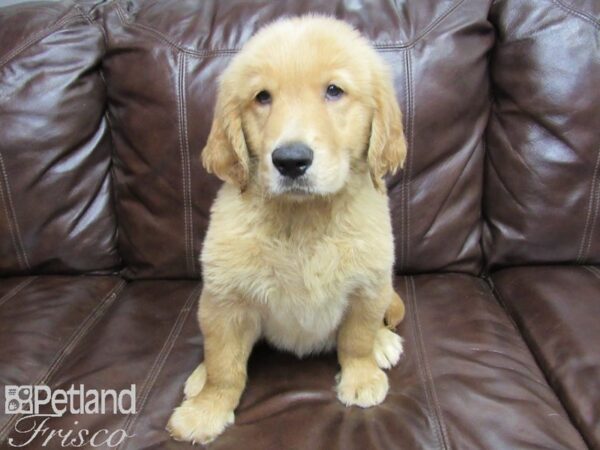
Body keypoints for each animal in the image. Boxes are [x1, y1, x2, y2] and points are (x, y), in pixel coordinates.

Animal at [166, 15, 406, 444]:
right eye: (262, 97)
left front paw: (361, 378)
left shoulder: (366, 286)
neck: (304, 218)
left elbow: (357, 338)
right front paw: (207, 410)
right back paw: (198, 378)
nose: (290, 161)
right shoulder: (225, 301)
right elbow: (225, 365)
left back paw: (384, 342)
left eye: (334, 90)